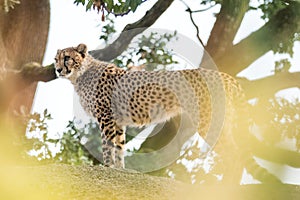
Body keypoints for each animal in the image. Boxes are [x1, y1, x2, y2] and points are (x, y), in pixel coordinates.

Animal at [55, 43, 280, 183]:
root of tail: (225, 75)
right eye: (56, 59)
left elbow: (108, 146)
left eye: (67, 58)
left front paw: (108, 168)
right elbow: (119, 147)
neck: (81, 74)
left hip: (209, 121)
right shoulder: (118, 121)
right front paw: (120, 170)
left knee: (233, 153)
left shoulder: (106, 118)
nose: (57, 70)